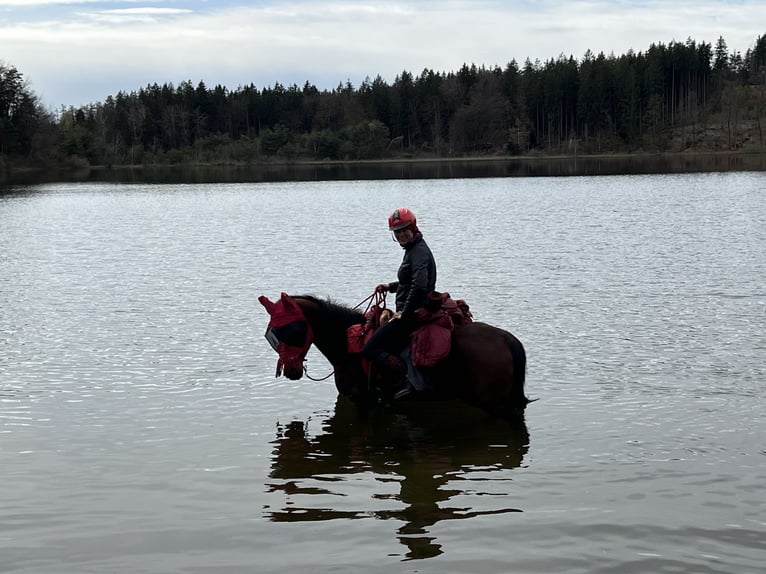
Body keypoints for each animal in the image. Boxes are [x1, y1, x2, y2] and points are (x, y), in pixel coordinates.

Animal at [258, 292, 531, 419]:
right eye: (271, 335)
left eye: (292, 330)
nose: (291, 371)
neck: (347, 344)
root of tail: (507, 340)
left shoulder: (362, 400)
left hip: (494, 404)